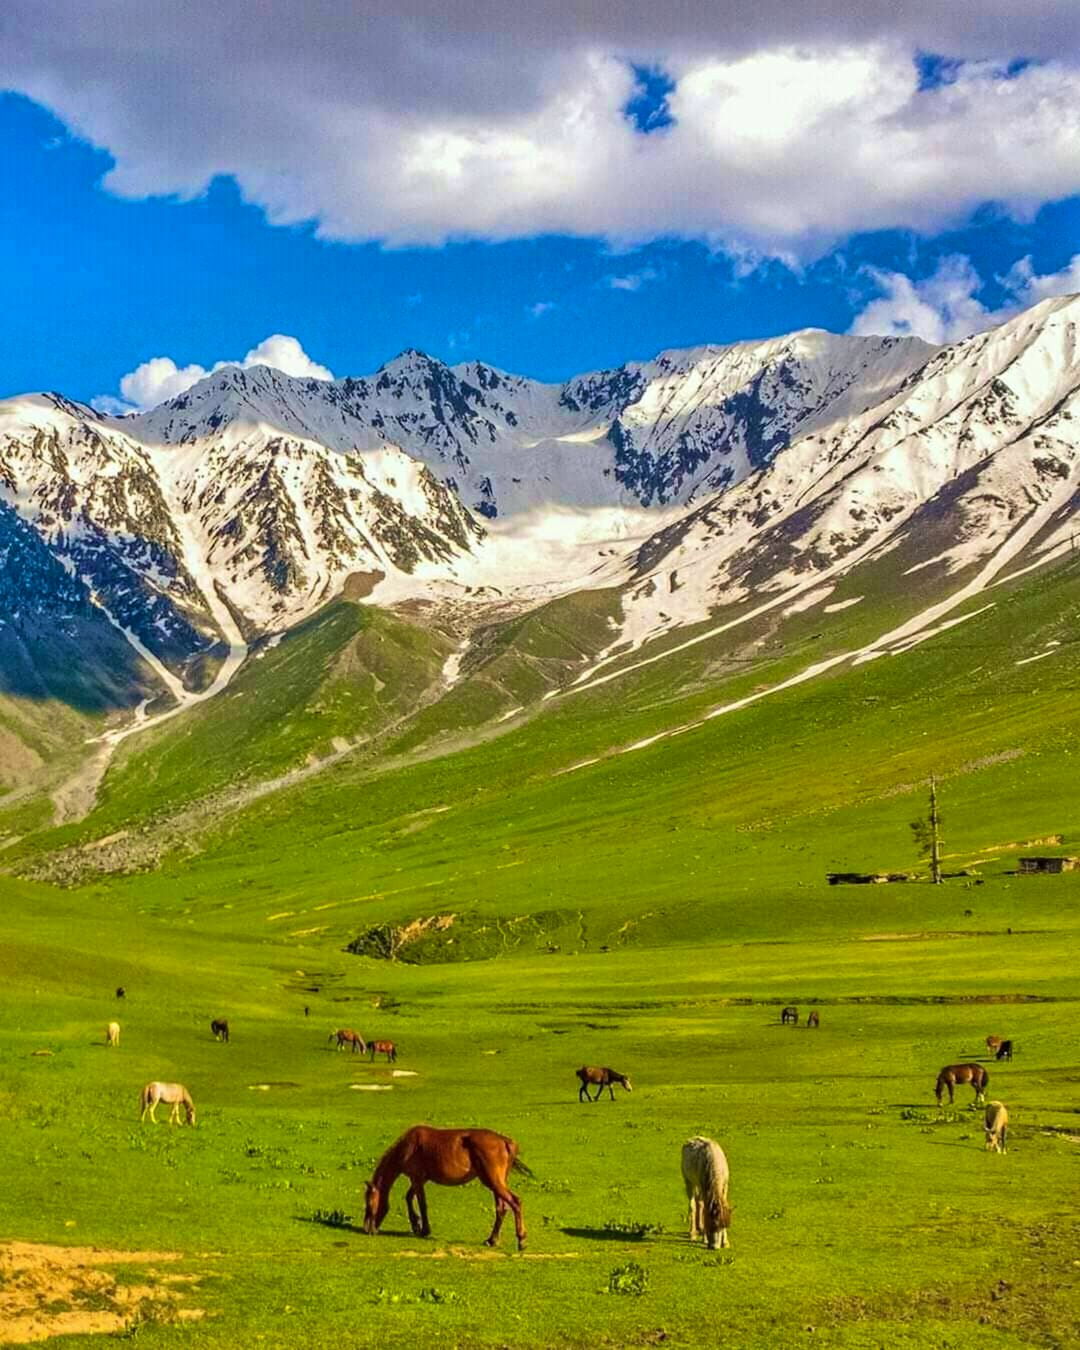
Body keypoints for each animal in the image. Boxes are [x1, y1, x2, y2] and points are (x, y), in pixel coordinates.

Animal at [364, 1123, 529, 1247]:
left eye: (369, 1204)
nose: (368, 1230)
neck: (408, 1146)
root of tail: (505, 1141)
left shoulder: (417, 1179)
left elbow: (422, 1204)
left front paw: (424, 1230)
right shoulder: (419, 1180)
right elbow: (409, 1198)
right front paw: (416, 1224)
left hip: (493, 1181)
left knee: (515, 1202)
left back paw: (521, 1240)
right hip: (496, 1184)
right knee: (501, 1208)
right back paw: (492, 1240)